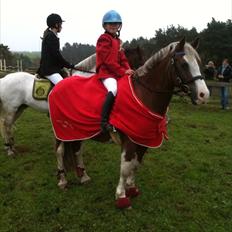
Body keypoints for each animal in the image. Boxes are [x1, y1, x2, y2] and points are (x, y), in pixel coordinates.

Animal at [50, 38, 210, 208]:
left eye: (199, 62)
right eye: (184, 64)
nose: (204, 95)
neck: (144, 95)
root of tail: (59, 84)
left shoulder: (144, 139)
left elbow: (136, 164)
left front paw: (131, 188)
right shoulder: (129, 139)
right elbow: (125, 167)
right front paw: (121, 196)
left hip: (78, 131)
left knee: (77, 150)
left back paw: (83, 177)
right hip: (61, 130)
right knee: (59, 151)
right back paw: (62, 180)